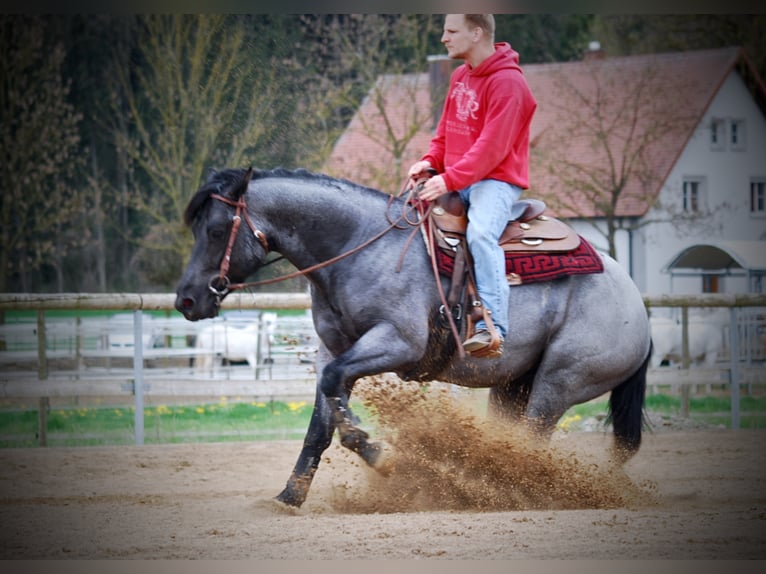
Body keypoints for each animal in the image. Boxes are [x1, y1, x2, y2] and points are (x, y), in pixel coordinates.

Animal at [175, 167, 652, 508]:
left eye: (216, 230)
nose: (186, 299)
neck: (358, 246)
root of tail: (638, 307)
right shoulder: (334, 349)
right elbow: (321, 422)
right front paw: (288, 497)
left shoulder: (397, 343)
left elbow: (335, 391)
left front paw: (381, 455)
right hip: (512, 387)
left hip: (558, 383)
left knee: (531, 443)